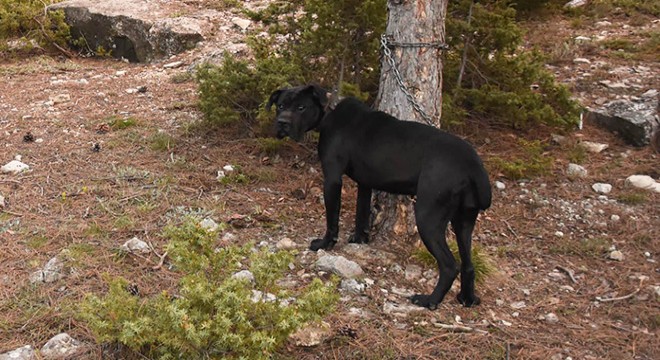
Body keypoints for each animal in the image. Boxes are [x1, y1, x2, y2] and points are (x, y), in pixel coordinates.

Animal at [266, 84, 490, 310]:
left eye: (301, 107)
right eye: (280, 106)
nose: (282, 123)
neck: (329, 112)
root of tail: (472, 164)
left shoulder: (332, 178)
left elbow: (332, 218)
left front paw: (325, 243)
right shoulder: (365, 183)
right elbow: (361, 212)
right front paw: (359, 239)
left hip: (428, 217)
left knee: (450, 265)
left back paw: (430, 300)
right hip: (464, 220)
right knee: (468, 264)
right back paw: (467, 298)